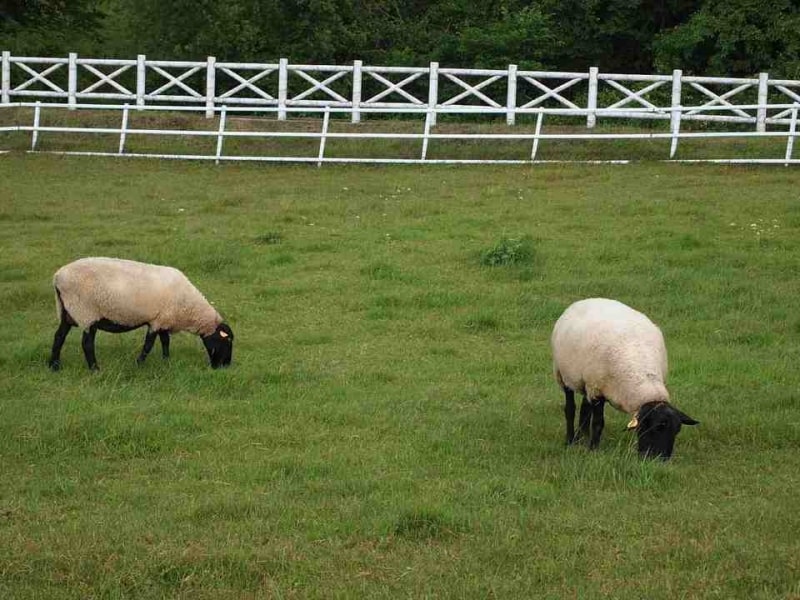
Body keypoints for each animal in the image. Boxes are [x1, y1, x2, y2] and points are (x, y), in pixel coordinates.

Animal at [48, 256, 234, 370]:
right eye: (228, 341)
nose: (225, 366)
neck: (190, 309)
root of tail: (58, 277)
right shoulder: (156, 322)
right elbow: (148, 345)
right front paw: (139, 363)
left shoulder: (163, 319)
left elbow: (165, 341)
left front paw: (166, 360)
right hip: (86, 312)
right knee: (86, 343)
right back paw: (95, 369)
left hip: (67, 311)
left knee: (58, 337)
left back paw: (54, 366)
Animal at [552, 298, 696, 460]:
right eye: (656, 428)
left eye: (677, 430)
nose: (661, 459)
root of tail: (587, 300)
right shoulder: (597, 389)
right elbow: (598, 423)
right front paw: (593, 449)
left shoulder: (595, 387)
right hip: (563, 374)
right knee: (570, 409)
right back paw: (570, 440)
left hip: (586, 381)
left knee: (585, 408)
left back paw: (582, 437)